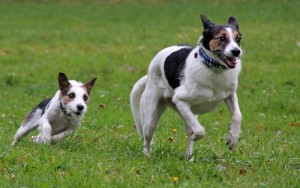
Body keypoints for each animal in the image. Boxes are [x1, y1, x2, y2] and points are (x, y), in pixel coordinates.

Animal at [131, 13, 244, 157]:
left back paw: (189, 157)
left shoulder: (229, 94)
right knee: (147, 140)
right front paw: (196, 135)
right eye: (221, 38)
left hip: (188, 114)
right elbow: (200, 130)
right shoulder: (180, 100)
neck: (214, 68)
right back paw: (147, 156)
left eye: (238, 38)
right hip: (150, 116)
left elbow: (238, 115)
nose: (236, 51)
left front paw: (233, 138)